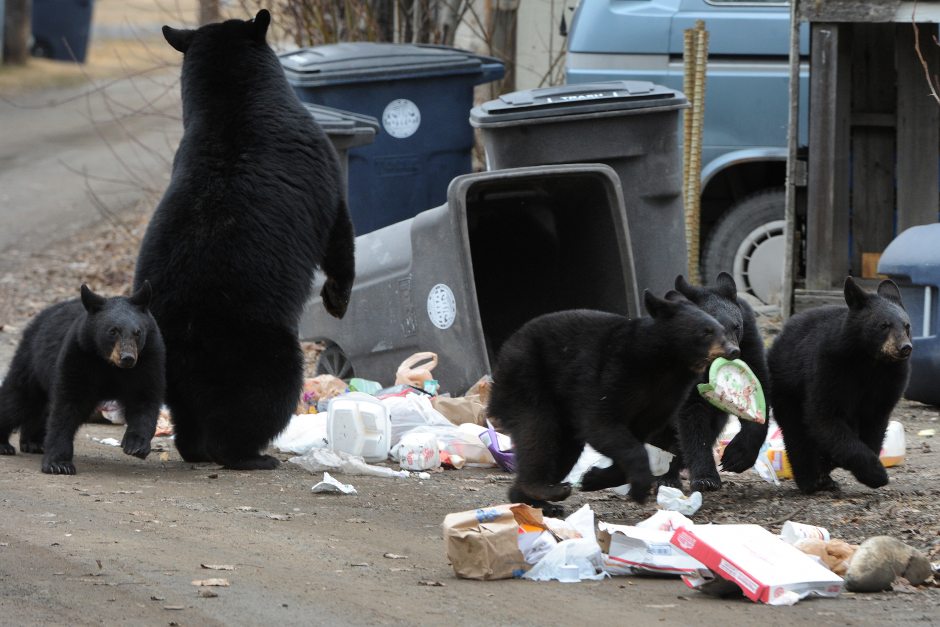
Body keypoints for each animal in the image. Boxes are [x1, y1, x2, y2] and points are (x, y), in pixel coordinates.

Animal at [0, 283, 165, 475]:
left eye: (137, 332)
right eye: (112, 331)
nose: (128, 358)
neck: (110, 365)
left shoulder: (147, 360)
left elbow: (144, 400)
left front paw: (136, 445)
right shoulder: (79, 355)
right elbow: (68, 405)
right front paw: (58, 463)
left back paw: (33, 443)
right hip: (32, 360)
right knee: (18, 399)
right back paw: (4, 445)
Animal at [133, 10, 355, 470]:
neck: (230, 104)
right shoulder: (320, 163)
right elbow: (339, 233)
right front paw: (337, 299)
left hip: (172, 372)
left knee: (187, 414)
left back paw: (196, 450)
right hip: (256, 348)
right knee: (263, 398)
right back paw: (250, 455)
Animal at [486, 290, 736, 516]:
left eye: (724, 330)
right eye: (706, 331)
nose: (734, 350)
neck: (665, 363)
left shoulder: (666, 396)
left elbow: (636, 433)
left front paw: (593, 478)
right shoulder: (614, 373)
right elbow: (601, 423)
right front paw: (639, 487)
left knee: (565, 450)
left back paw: (533, 501)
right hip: (527, 379)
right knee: (539, 433)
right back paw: (542, 488)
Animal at [657, 273, 772, 491]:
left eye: (736, 326)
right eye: (707, 331)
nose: (733, 353)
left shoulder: (750, 342)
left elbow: (760, 385)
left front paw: (737, 456)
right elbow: (692, 415)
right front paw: (706, 478)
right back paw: (665, 476)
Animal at [768, 277, 912, 494]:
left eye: (907, 325)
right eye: (884, 325)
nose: (905, 347)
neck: (871, 361)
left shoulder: (889, 380)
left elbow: (875, 423)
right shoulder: (830, 367)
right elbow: (825, 416)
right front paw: (876, 473)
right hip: (787, 387)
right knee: (796, 433)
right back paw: (810, 480)